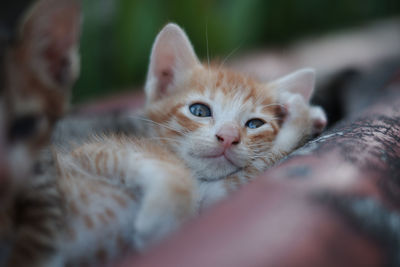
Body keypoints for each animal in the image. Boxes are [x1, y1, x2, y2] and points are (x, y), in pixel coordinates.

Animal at [51, 23, 326, 266]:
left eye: (255, 124)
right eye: (199, 111)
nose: (228, 136)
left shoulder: (210, 201)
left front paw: (304, 116)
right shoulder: (84, 153)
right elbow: (163, 163)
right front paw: (162, 218)